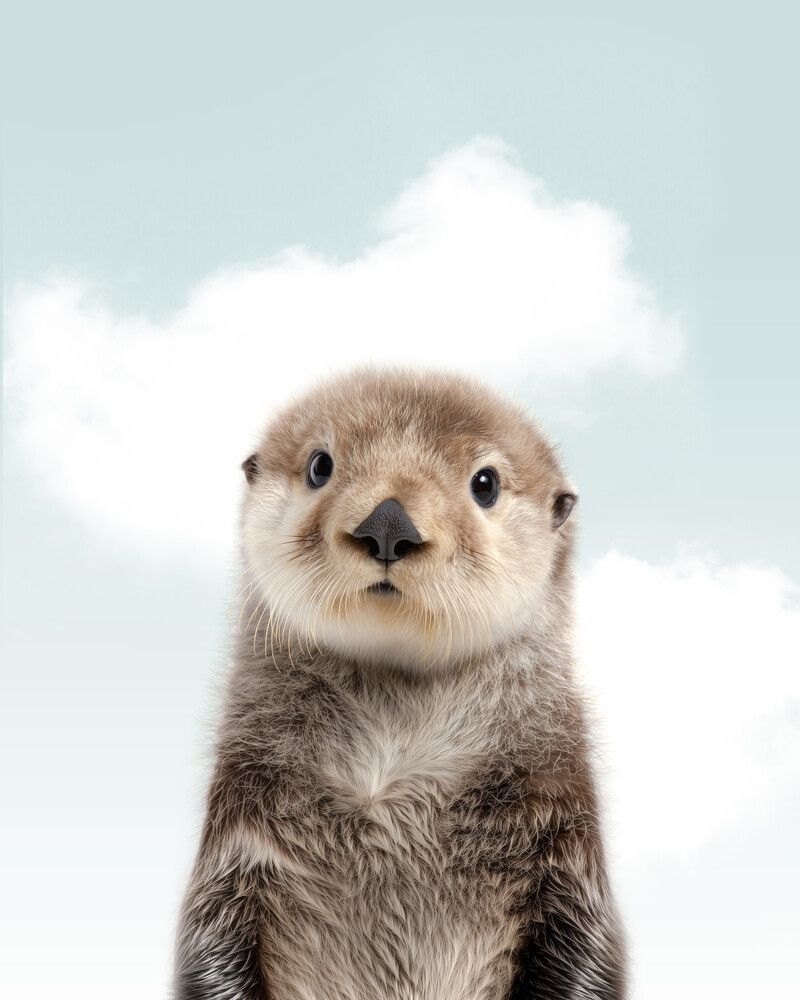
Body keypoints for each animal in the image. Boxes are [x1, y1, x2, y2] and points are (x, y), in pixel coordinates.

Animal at [175, 368, 626, 999]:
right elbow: (211, 940)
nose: (387, 524)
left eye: (485, 483)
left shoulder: (560, 823)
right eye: (320, 465)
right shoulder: (240, 828)